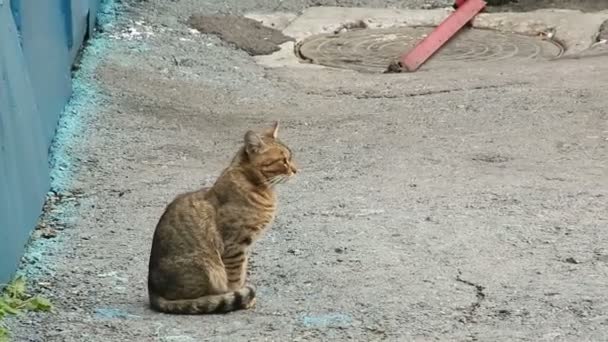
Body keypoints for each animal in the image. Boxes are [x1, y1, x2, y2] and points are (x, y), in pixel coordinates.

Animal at [148, 123, 298, 316]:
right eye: (283, 160)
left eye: (290, 157)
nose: (296, 170)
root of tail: (152, 292)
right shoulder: (235, 245)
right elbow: (235, 279)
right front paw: (240, 297)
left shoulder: (244, 249)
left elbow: (242, 273)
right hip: (207, 267)